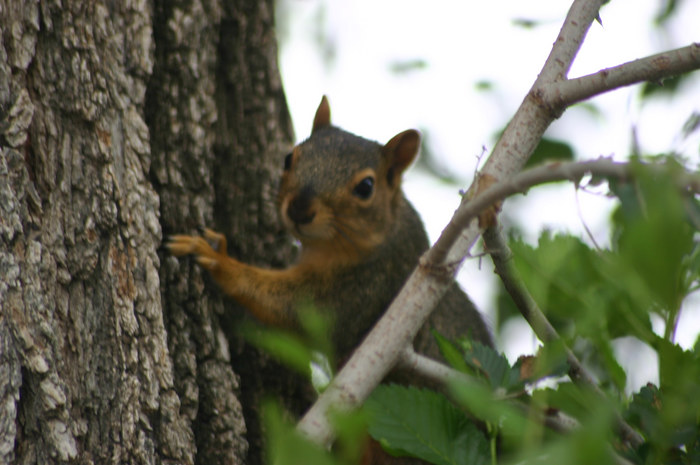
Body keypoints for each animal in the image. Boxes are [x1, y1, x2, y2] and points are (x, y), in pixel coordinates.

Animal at [167, 95, 492, 366]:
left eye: (366, 187)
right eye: (289, 158)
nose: (299, 209)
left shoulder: (367, 287)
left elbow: (300, 311)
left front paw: (217, 258)